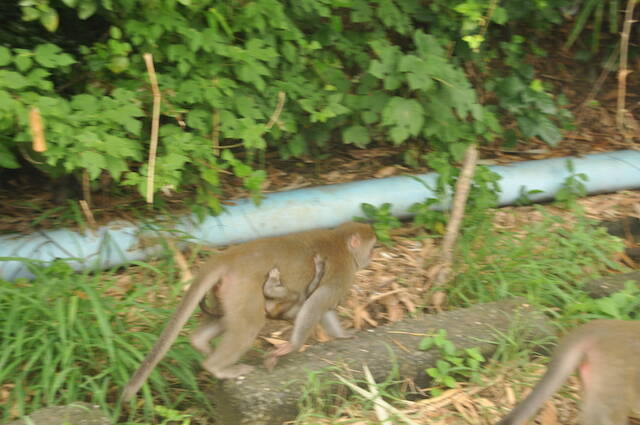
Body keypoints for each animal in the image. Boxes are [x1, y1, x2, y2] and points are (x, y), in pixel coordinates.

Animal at [120, 222, 376, 400]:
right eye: (372, 247)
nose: (371, 259)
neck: (340, 241)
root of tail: (230, 255)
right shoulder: (342, 274)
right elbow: (317, 303)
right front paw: (290, 347)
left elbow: (320, 307)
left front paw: (342, 335)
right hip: (243, 285)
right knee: (250, 324)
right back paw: (217, 367)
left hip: (227, 290)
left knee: (228, 318)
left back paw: (199, 342)